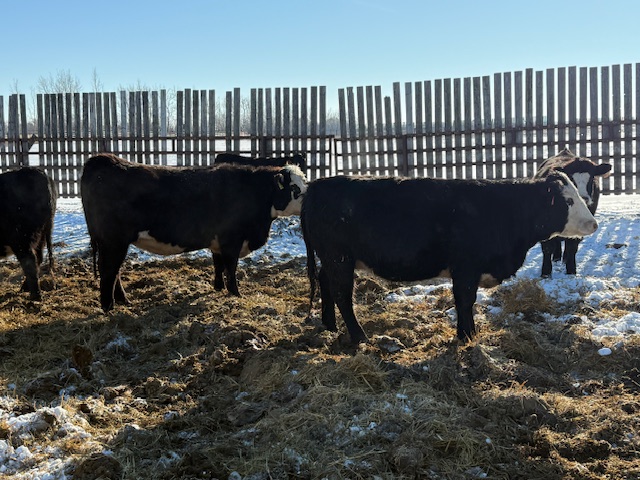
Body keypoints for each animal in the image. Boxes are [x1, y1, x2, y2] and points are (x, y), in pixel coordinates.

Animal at [0, 168, 57, 300]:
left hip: (21, 238)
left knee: (30, 261)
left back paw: (35, 296)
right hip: (41, 235)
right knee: (38, 258)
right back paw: (25, 288)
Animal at [80, 153, 307, 312]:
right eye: (295, 189)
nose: (309, 199)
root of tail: (103, 160)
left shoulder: (218, 242)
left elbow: (218, 265)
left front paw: (218, 288)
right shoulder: (231, 241)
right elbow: (231, 268)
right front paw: (235, 293)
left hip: (115, 242)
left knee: (115, 271)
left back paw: (123, 300)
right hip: (113, 241)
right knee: (109, 270)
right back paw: (109, 307)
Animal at [301, 173, 598, 344]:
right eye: (568, 201)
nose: (593, 224)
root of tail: (317, 186)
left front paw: (470, 334)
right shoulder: (466, 268)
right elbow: (465, 301)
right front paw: (466, 336)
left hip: (332, 258)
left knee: (325, 282)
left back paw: (329, 324)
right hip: (339, 257)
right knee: (342, 293)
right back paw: (359, 335)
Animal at [534, 148, 612, 277]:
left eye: (592, 178)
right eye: (570, 178)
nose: (583, 198)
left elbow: (572, 246)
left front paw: (571, 271)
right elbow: (548, 247)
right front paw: (546, 273)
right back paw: (556, 258)